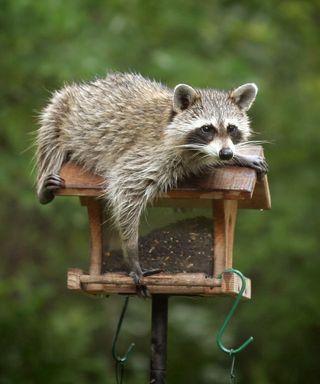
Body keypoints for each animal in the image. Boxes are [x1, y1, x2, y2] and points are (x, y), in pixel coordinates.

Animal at [36, 72, 268, 296]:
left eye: (231, 128)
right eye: (207, 128)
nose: (226, 153)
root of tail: (86, 86)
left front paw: (238, 156)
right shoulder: (148, 154)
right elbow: (125, 187)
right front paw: (131, 252)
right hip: (61, 110)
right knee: (49, 138)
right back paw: (44, 185)